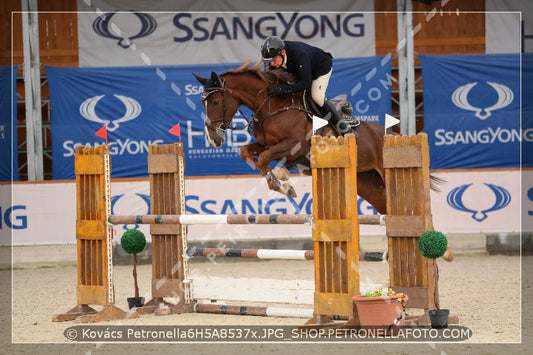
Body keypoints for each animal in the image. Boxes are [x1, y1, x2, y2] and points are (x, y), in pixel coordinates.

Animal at [191, 60, 390, 216]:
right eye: (203, 103)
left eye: (216, 101)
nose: (212, 139)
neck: (270, 107)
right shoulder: (267, 144)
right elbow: (247, 153)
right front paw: (281, 181)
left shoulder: (296, 145)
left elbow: (263, 158)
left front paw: (283, 182)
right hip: (370, 185)